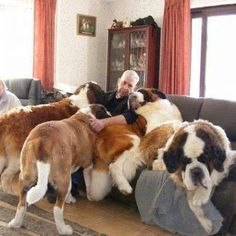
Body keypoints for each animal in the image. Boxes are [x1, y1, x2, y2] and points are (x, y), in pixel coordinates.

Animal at [8, 104, 109, 235]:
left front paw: (70, 198)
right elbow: (88, 183)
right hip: (62, 179)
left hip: (26, 176)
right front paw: (90, 196)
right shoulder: (88, 165)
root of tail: (43, 139)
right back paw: (64, 229)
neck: (86, 117)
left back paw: (15, 223)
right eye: (105, 110)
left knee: (21, 203)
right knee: (57, 208)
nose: (110, 113)